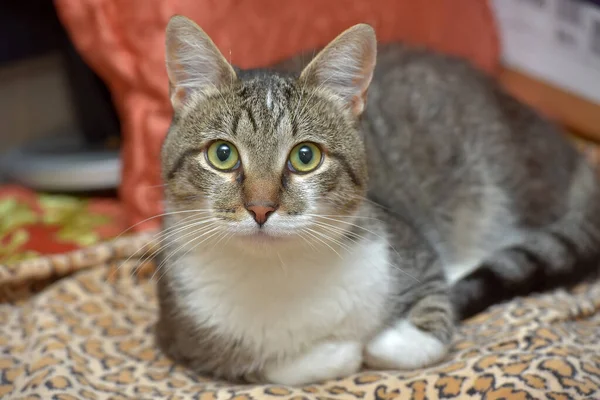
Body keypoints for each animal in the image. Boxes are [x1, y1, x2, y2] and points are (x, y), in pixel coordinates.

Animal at [154, 14, 600, 386]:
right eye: (222, 154)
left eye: (305, 156)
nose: (261, 207)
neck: (277, 270)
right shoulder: (181, 334)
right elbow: (266, 365)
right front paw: (339, 352)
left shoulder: (412, 249)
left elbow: (432, 319)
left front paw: (385, 340)